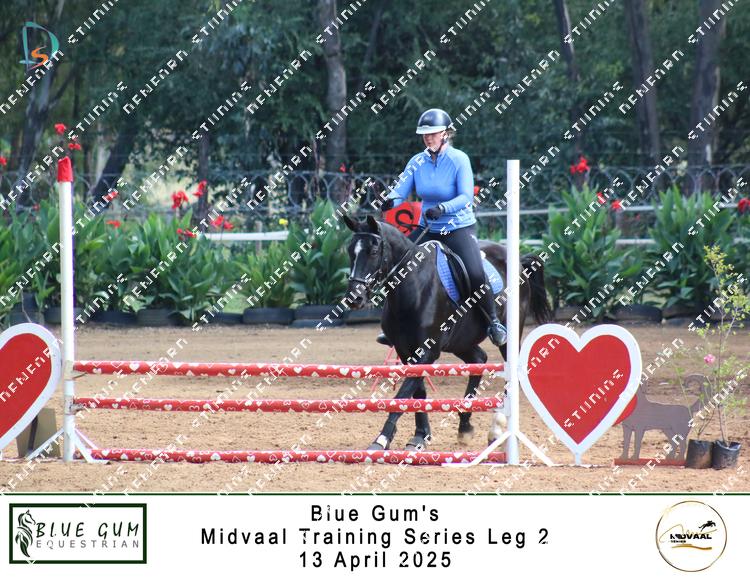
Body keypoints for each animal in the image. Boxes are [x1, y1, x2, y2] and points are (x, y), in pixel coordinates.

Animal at [343, 215, 552, 451]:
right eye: (350, 251)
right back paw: (465, 424)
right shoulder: (406, 351)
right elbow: (417, 392)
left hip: (508, 335)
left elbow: (403, 394)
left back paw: (496, 428)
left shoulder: (427, 351)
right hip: (461, 342)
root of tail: (517, 261)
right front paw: (420, 436)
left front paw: (382, 438)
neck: (414, 285)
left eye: (373, 251)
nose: (354, 298)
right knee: (479, 359)